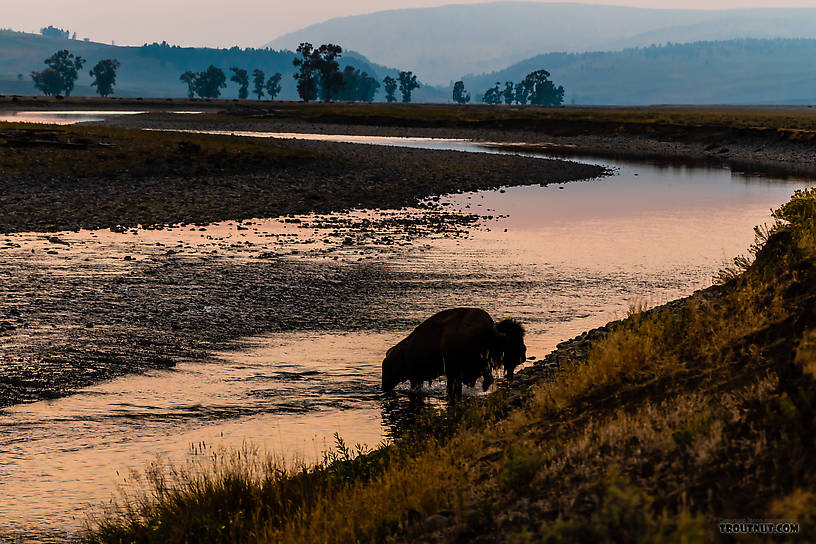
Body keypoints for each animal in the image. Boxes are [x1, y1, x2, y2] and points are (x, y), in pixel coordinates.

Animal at [384, 308, 528, 398]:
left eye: (521, 337)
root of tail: (390, 353)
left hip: (415, 378)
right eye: (511, 340)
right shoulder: (453, 373)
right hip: (392, 380)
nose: (523, 356)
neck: (486, 336)